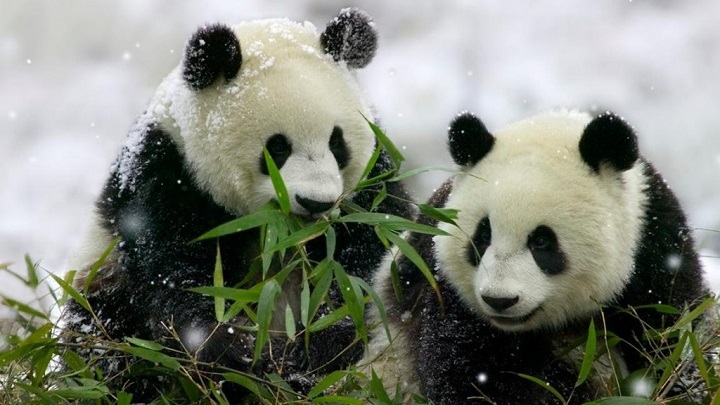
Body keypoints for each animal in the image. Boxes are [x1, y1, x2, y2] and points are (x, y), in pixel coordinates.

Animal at [62, 8, 413, 402]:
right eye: (277, 148)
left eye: (337, 143)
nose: (316, 201)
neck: (278, 231)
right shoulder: (165, 177)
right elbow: (179, 279)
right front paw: (238, 356)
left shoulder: (371, 186)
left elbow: (364, 264)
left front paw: (311, 353)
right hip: (102, 280)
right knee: (104, 342)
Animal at [361, 109, 709, 404]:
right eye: (482, 236)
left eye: (542, 241)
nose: (499, 300)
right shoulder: (444, 288)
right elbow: (473, 373)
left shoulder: (655, 249)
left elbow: (670, 340)